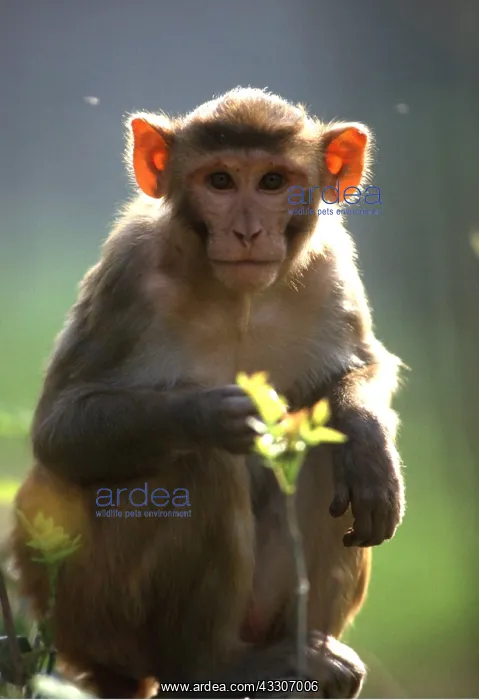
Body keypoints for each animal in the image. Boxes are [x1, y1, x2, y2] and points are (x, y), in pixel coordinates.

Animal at [10, 87, 405, 699]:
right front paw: (208, 414)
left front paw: (366, 438)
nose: (246, 232)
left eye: (272, 182)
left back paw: (302, 656)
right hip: (93, 612)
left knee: (322, 451)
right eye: (219, 181)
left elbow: (366, 367)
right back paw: (212, 666)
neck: (236, 298)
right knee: (198, 465)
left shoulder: (332, 268)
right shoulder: (127, 273)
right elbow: (59, 432)